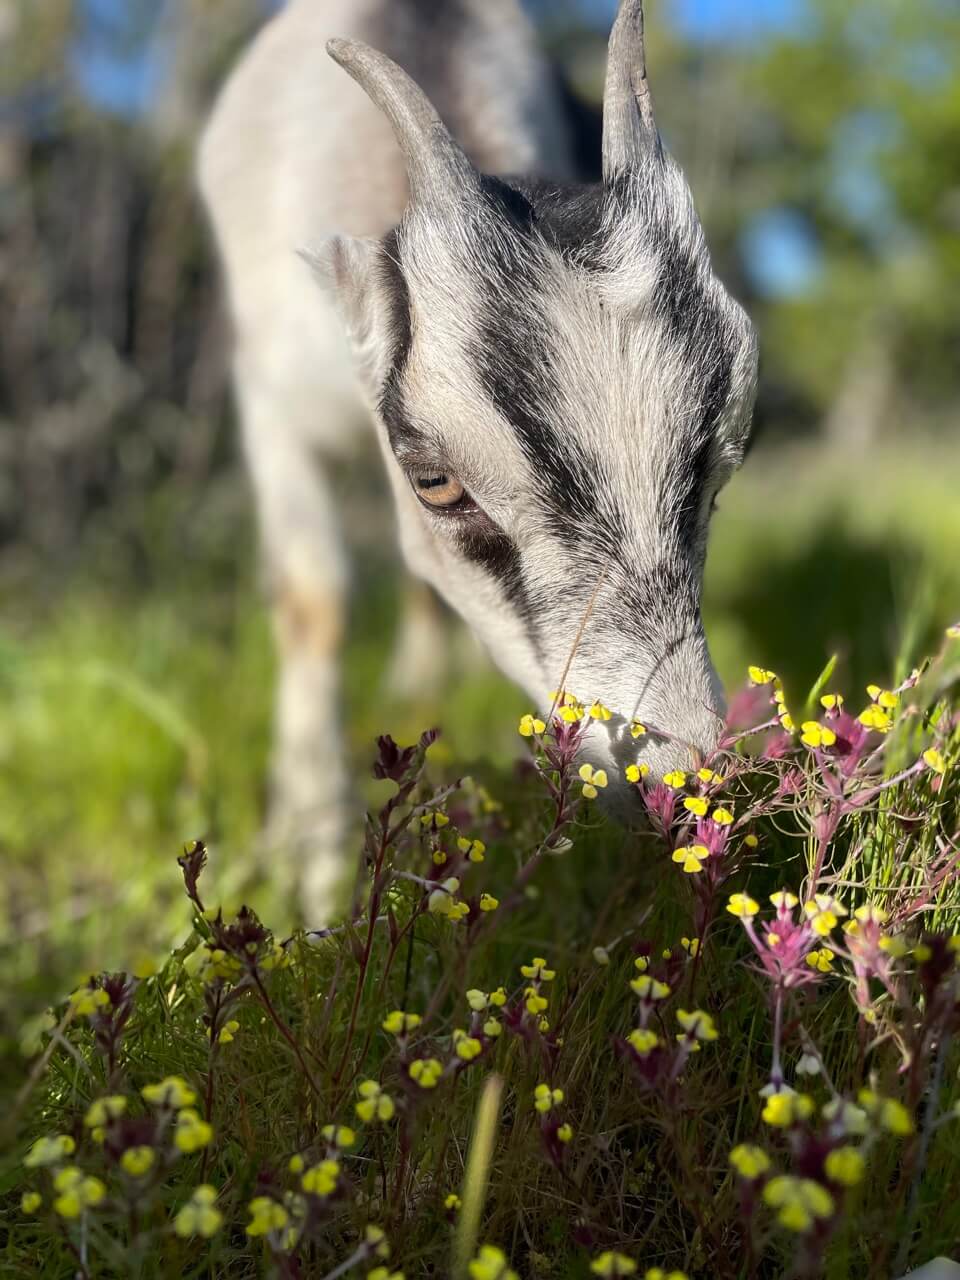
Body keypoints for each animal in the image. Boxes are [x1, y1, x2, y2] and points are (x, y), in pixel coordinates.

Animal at [198, 0, 758, 920]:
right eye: (435, 481)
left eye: (714, 468)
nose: (682, 790)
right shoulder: (270, 403)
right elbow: (315, 600)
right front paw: (313, 872)